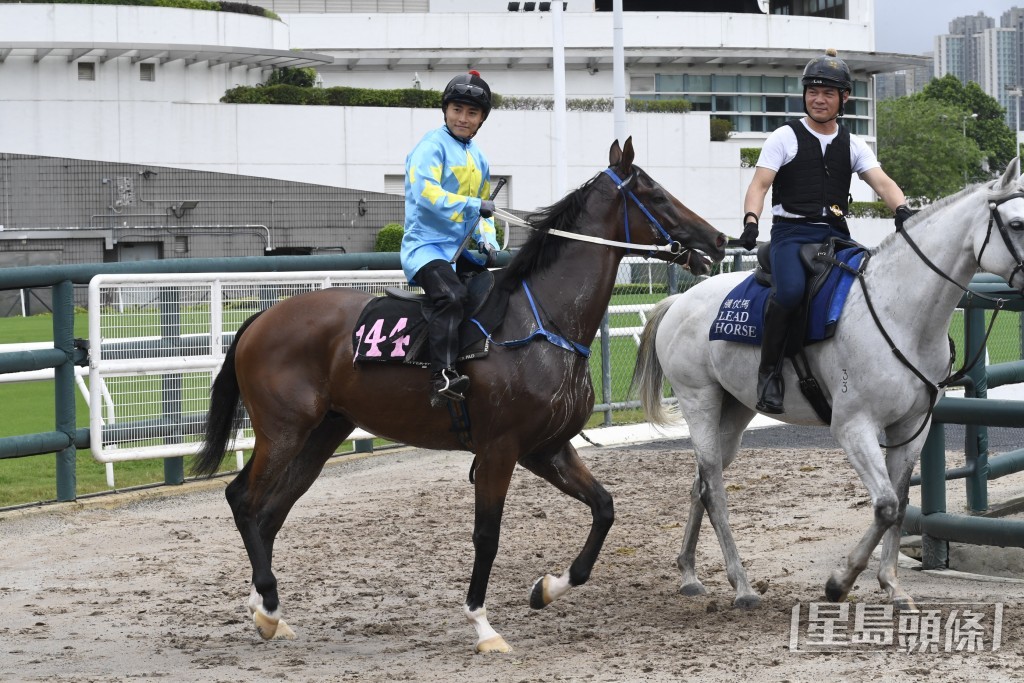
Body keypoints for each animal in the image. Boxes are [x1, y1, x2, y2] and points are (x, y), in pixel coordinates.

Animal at [190, 137, 720, 651]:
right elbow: (487, 536)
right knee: (244, 500)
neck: (541, 322)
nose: (718, 238)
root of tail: (263, 317)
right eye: (656, 194)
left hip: (322, 435)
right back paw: (267, 605)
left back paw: (268, 612)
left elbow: (604, 508)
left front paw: (547, 588)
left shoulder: (546, 448)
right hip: (283, 431)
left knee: (271, 512)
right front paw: (483, 626)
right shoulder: (499, 450)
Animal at [630, 158, 1024, 610]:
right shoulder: (854, 427)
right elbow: (886, 505)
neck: (900, 313)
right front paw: (840, 582)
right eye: (1016, 224)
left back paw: (689, 574)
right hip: (700, 403)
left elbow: (901, 502)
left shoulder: (912, 429)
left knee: (700, 485)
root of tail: (679, 301)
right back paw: (742, 586)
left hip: (733, 413)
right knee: (713, 490)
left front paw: (892, 586)